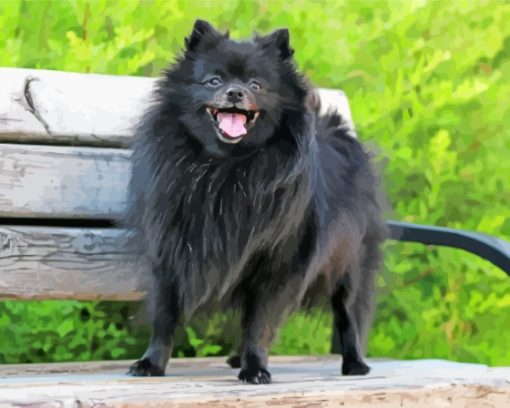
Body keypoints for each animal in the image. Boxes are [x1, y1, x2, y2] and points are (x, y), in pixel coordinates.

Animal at [125, 18, 384, 382]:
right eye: (214, 80)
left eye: (256, 84)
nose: (235, 92)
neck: (228, 168)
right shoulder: (170, 255)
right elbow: (164, 317)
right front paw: (151, 363)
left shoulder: (278, 264)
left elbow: (261, 322)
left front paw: (256, 367)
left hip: (350, 265)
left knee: (347, 314)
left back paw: (355, 363)